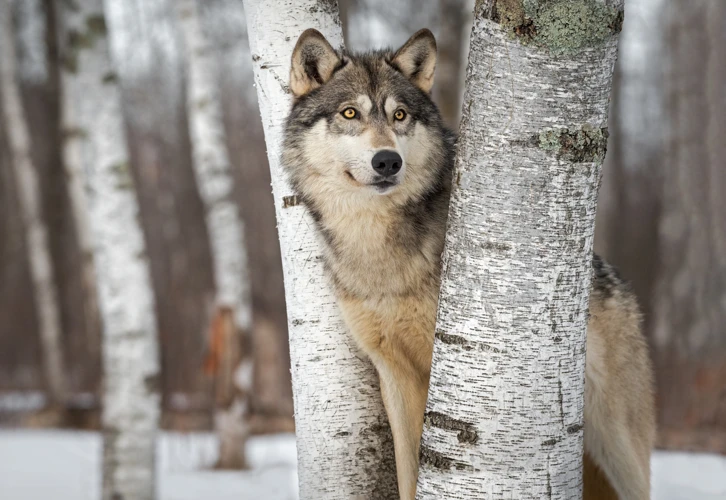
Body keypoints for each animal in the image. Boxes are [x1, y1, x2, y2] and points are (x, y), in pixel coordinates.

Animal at [282, 28, 656, 500]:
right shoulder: (394, 374)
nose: (387, 161)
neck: (378, 248)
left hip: (619, 448)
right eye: (350, 112)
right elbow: (407, 473)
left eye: (400, 115)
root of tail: (616, 280)